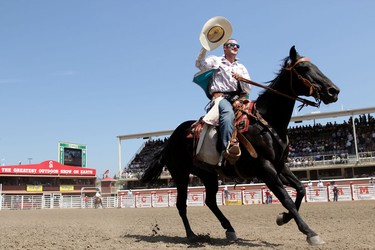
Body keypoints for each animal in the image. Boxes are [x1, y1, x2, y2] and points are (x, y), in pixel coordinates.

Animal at [141, 47, 340, 246]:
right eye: (304, 68)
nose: (334, 91)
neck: (267, 122)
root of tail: (170, 140)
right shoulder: (265, 168)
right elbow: (286, 198)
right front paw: (310, 232)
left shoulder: (280, 165)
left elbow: (300, 189)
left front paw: (282, 218)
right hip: (180, 174)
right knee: (181, 204)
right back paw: (191, 235)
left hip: (208, 175)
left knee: (210, 201)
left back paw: (229, 229)